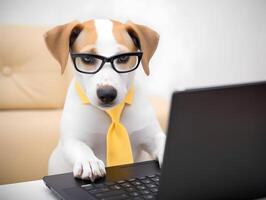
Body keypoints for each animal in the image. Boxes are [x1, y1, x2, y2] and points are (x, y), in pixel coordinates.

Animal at [44, 18, 165, 181]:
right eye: (87, 58)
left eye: (123, 57)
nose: (107, 93)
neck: (111, 114)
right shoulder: (72, 139)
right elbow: (80, 147)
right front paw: (89, 161)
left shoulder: (152, 135)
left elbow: (162, 141)